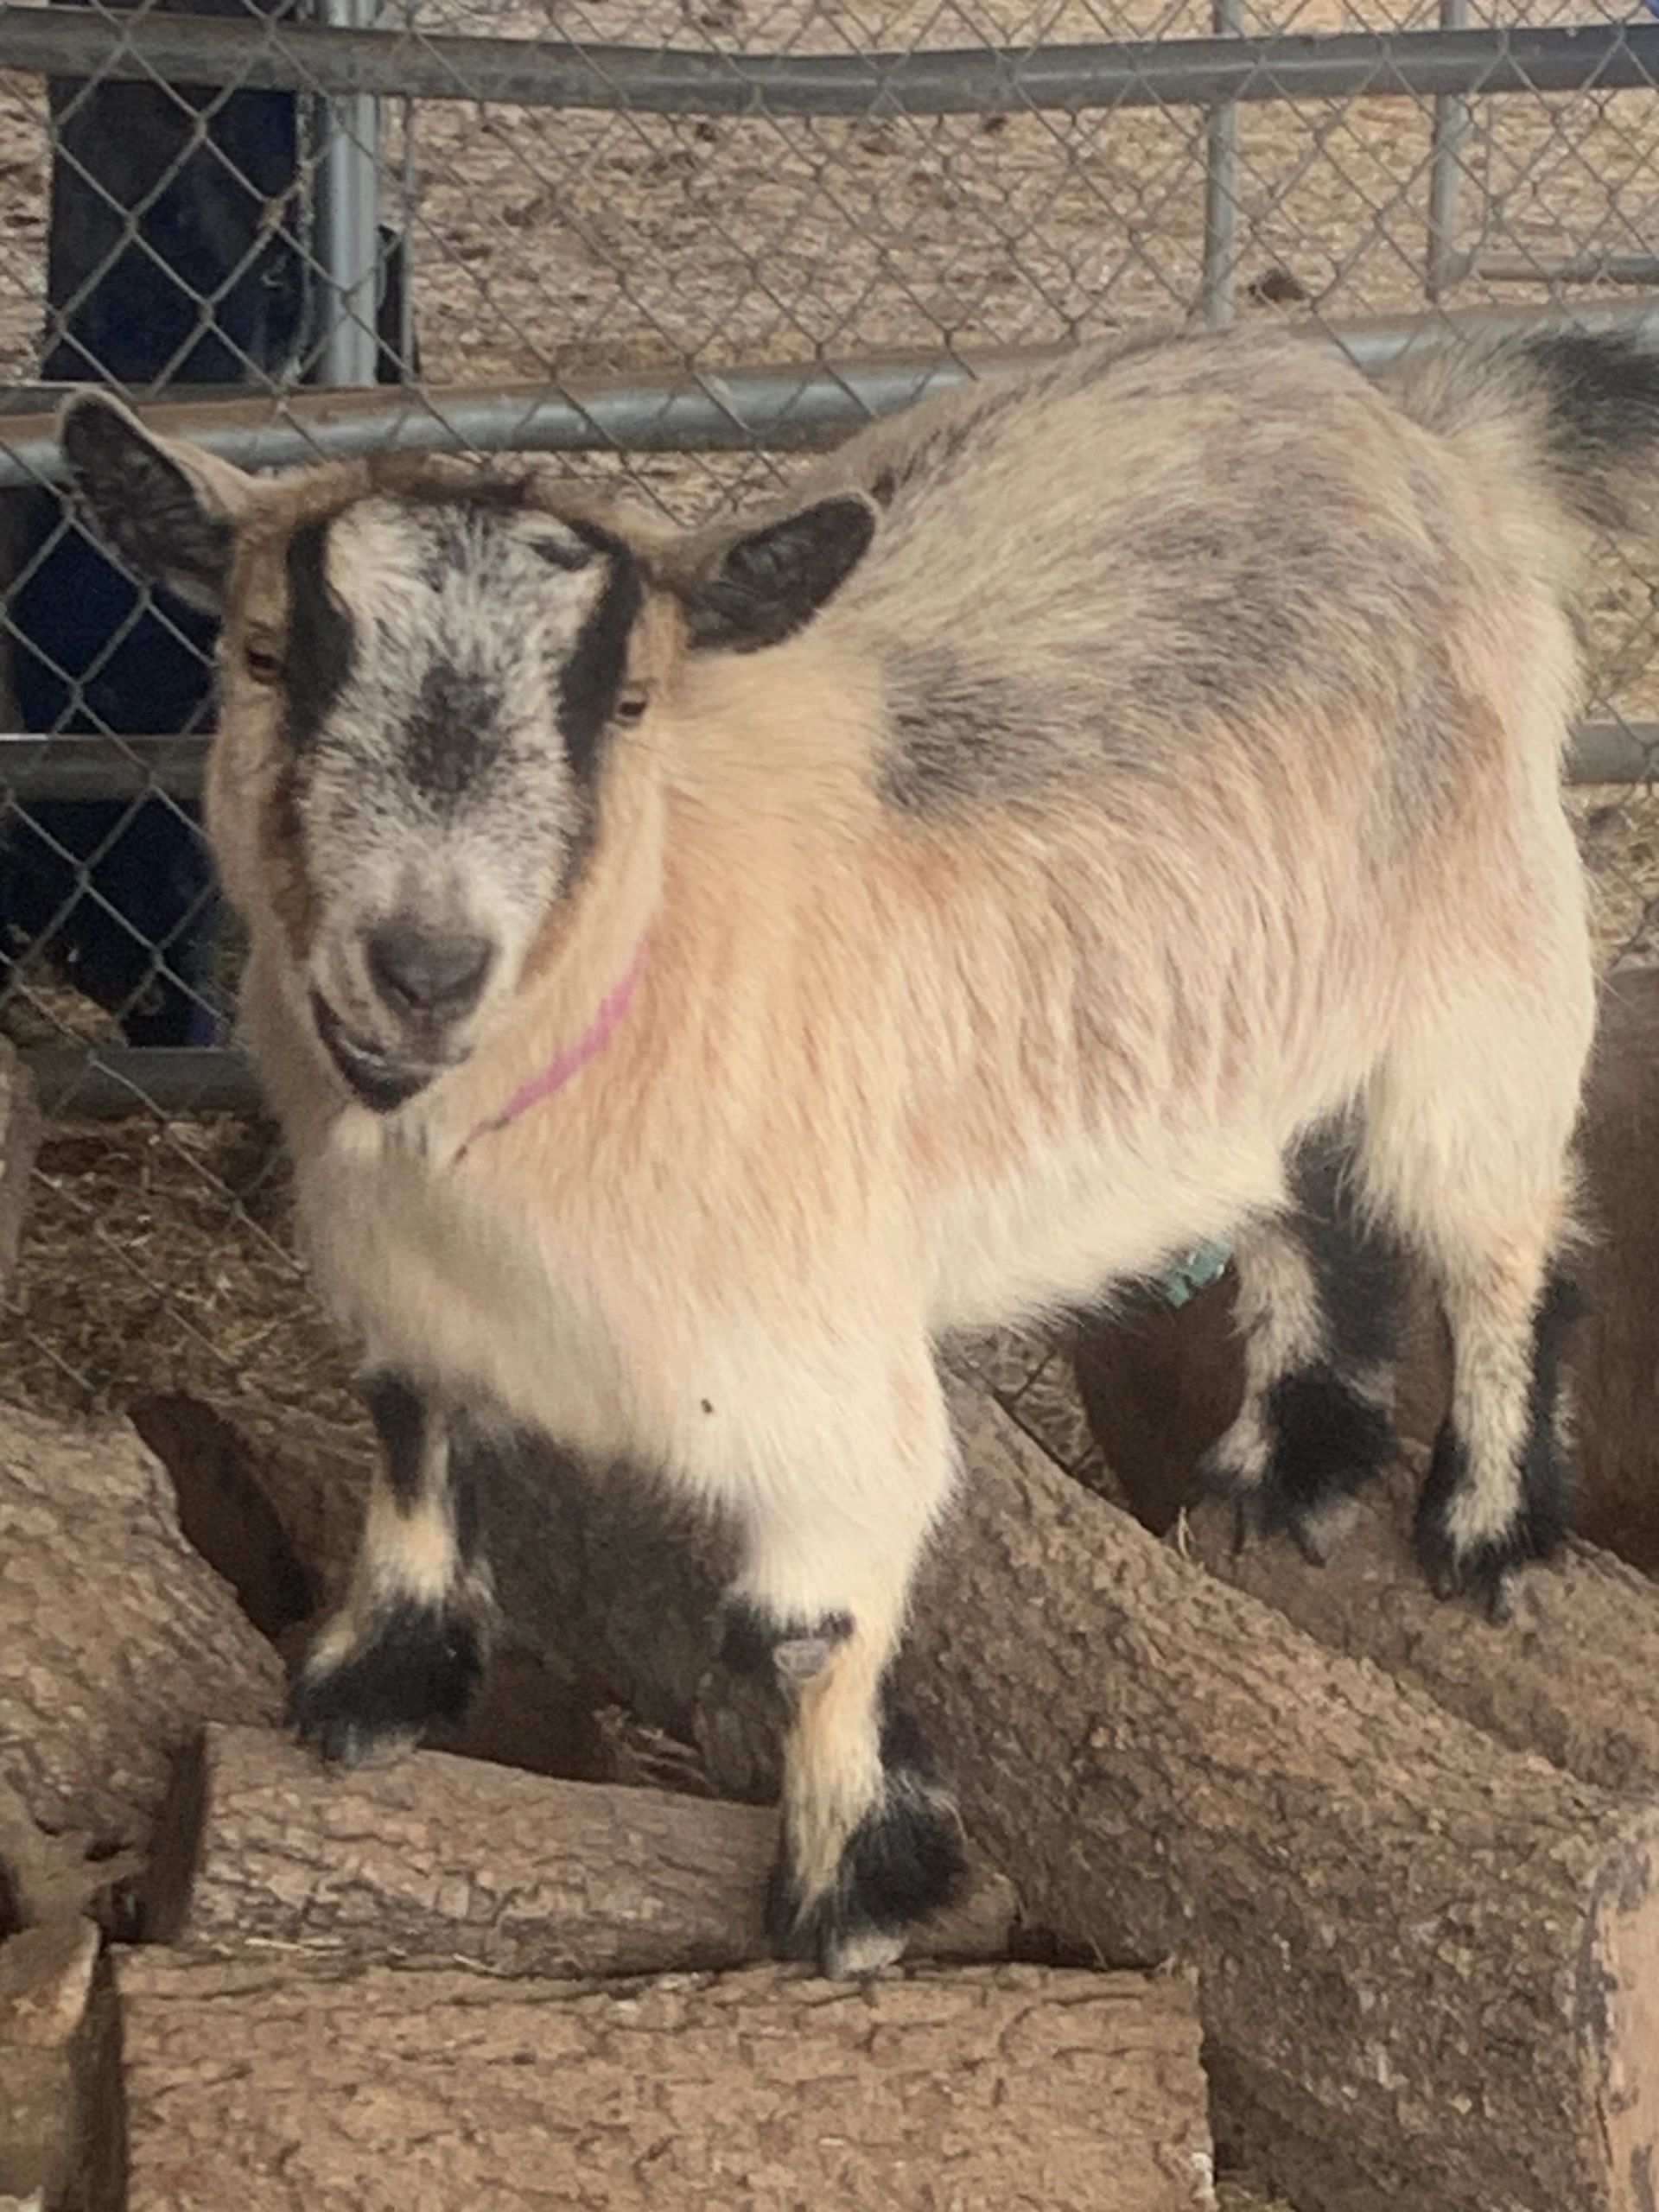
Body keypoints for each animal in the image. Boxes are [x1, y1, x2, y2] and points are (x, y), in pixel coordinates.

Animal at [58, 320, 1656, 1973]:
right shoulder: (399, 1288)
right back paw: (1290, 1471)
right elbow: (416, 1444)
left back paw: (1481, 1528)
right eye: (261, 658)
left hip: (1479, 961)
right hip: (1260, 1002)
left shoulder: (819, 1372)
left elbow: (804, 1629)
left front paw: (853, 1892)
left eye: (627, 705)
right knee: (1307, 1194)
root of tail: (1425, 431)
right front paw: (372, 1689)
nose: (425, 965)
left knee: (1502, 1240)